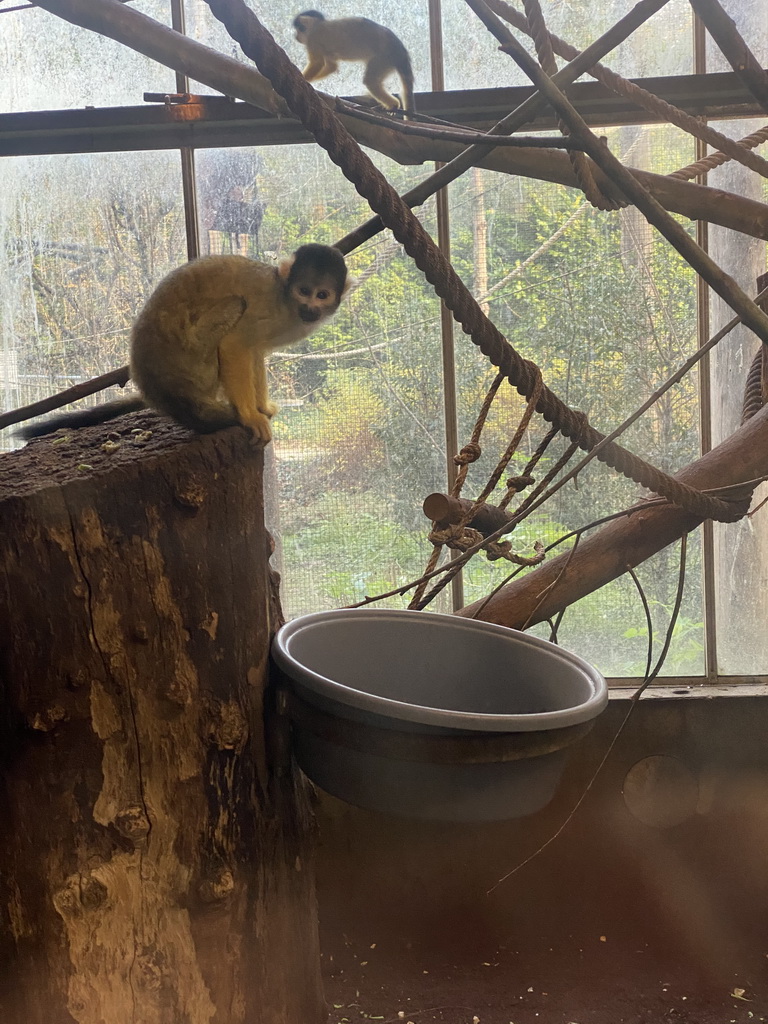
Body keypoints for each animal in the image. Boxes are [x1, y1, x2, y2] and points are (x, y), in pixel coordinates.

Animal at [18, 246, 352, 444]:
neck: (286, 301)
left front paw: (263, 407)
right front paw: (250, 415)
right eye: (304, 291)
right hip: (194, 361)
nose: (310, 308)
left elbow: (255, 353)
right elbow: (236, 346)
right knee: (235, 306)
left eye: (322, 295)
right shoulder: (267, 311)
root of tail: (157, 392)